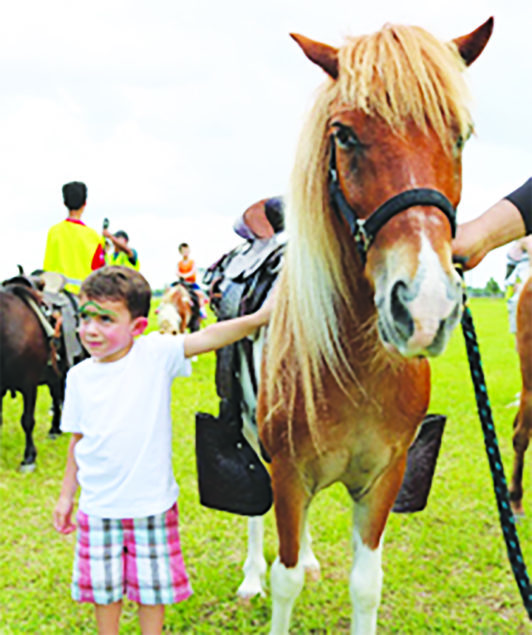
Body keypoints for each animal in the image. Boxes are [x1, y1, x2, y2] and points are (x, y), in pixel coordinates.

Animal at [254, 17, 494, 632]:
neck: (356, 367)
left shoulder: (386, 475)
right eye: (344, 136)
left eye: (461, 135)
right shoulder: (287, 472)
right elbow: (284, 578)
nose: (425, 306)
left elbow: (365, 585)